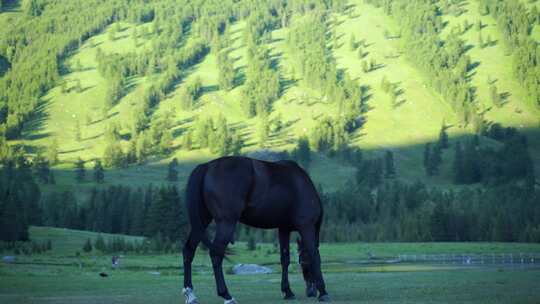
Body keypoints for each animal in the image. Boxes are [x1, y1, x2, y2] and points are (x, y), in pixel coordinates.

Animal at [181, 156, 330, 302]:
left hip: (201, 222)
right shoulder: (306, 226)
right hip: (226, 223)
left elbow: (285, 259)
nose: (310, 292)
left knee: (189, 250)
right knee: (216, 254)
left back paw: (190, 294)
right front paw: (323, 292)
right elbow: (314, 255)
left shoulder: (284, 229)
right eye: (303, 264)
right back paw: (226, 295)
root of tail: (207, 166)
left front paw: (287, 291)